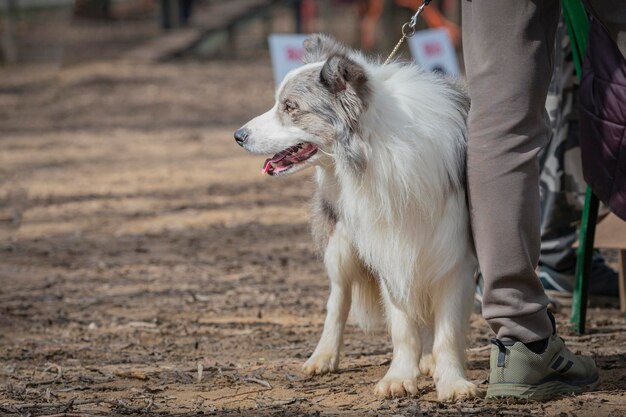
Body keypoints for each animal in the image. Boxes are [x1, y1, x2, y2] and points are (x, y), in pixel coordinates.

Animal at [234, 35, 478, 400]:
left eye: (290, 107)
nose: (238, 135)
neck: (383, 147)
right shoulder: (386, 242)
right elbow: (401, 323)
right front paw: (399, 377)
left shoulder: (453, 250)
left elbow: (447, 328)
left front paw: (451, 381)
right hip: (342, 243)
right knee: (338, 298)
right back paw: (322, 357)